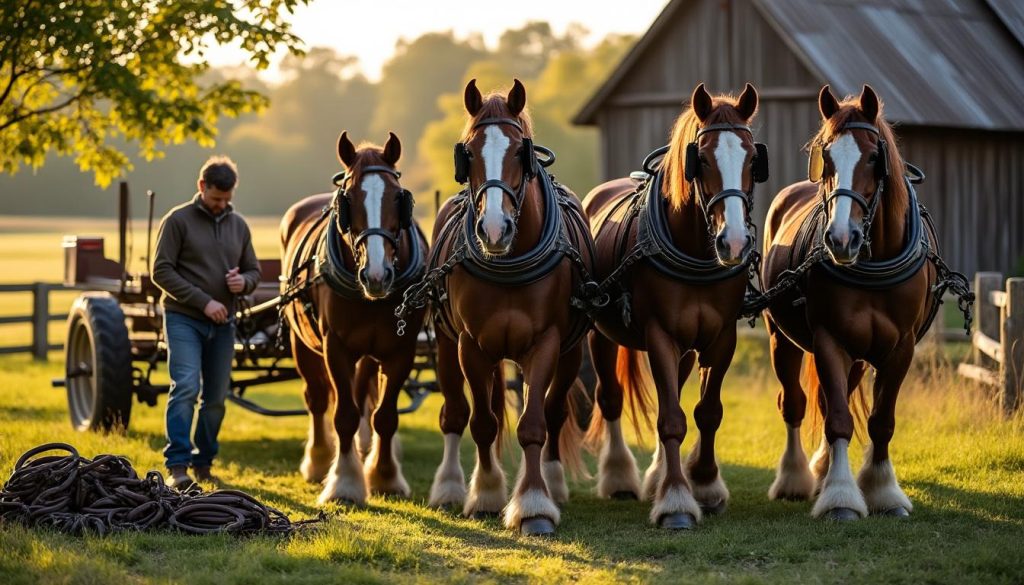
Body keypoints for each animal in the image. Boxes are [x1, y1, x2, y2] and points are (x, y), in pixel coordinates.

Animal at [280, 132, 429, 506]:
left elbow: (384, 416)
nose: (377, 275)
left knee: (363, 397)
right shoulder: (336, 348)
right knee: (317, 398)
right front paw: (344, 482)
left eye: (398, 198)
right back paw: (319, 460)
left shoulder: (401, 349)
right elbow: (343, 414)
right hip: (302, 343)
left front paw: (385, 477)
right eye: (348, 200)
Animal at [423, 79, 595, 536]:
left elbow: (533, 425)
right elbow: (482, 423)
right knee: (455, 414)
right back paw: (449, 487)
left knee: (554, 413)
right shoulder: (469, 344)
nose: (494, 229)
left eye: (520, 152)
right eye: (467, 151)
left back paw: (552, 481)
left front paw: (534, 504)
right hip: (445, 345)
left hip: (570, 353)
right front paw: (485, 494)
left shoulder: (546, 343)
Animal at [583, 83, 767, 530]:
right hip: (599, 334)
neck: (695, 251)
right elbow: (669, 419)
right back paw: (619, 477)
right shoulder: (660, 336)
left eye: (753, 159)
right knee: (609, 398)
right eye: (701, 160)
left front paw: (704, 483)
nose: (734, 243)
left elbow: (707, 412)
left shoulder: (722, 338)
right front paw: (676, 501)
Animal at [761, 85, 941, 520]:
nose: (842, 239)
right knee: (795, 403)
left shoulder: (901, 347)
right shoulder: (829, 340)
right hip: (782, 340)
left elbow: (881, 421)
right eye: (826, 157)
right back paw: (795, 478)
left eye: (875, 158)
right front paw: (841, 497)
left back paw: (822, 468)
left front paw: (883, 491)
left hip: (859, 356)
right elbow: (839, 419)